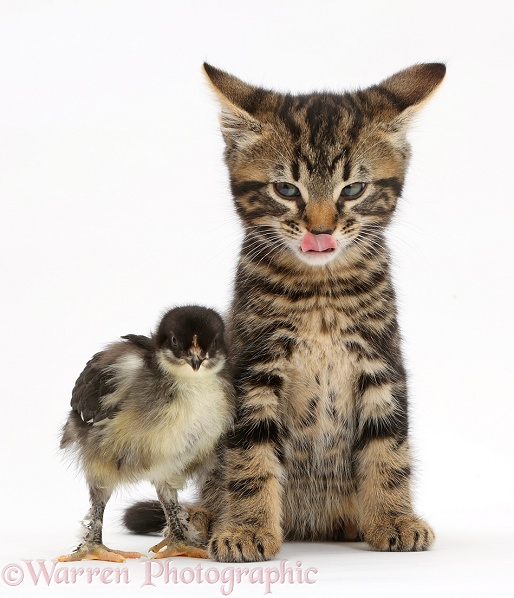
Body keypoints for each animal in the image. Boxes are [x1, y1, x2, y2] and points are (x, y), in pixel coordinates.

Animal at [125, 64, 444, 564]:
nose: (321, 230)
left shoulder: (381, 362)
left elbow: (388, 448)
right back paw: (203, 517)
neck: (320, 292)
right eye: (286, 189)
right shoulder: (252, 370)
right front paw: (246, 529)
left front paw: (394, 518)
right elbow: (249, 458)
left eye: (353, 189)